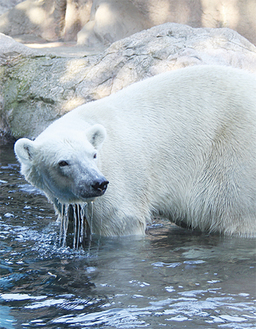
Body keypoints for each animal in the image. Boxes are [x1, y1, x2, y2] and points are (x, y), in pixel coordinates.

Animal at [14, 64, 256, 236]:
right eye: (63, 162)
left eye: (93, 155)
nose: (97, 183)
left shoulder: (118, 175)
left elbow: (119, 221)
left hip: (234, 150)